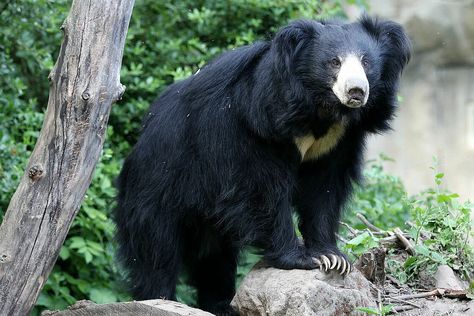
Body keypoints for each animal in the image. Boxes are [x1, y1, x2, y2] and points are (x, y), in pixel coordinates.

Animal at [113, 15, 410, 316]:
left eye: (366, 62)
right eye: (334, 62)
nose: (356, 91)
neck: (319, 111)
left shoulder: (337, 142)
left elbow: (323, 191)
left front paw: (332, 257)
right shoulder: (255, 127)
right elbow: (261, 191)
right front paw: (301, 258)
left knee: (215, 256)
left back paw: (222, 304)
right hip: (158, 183)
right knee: (156, 248)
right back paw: (159, 298)